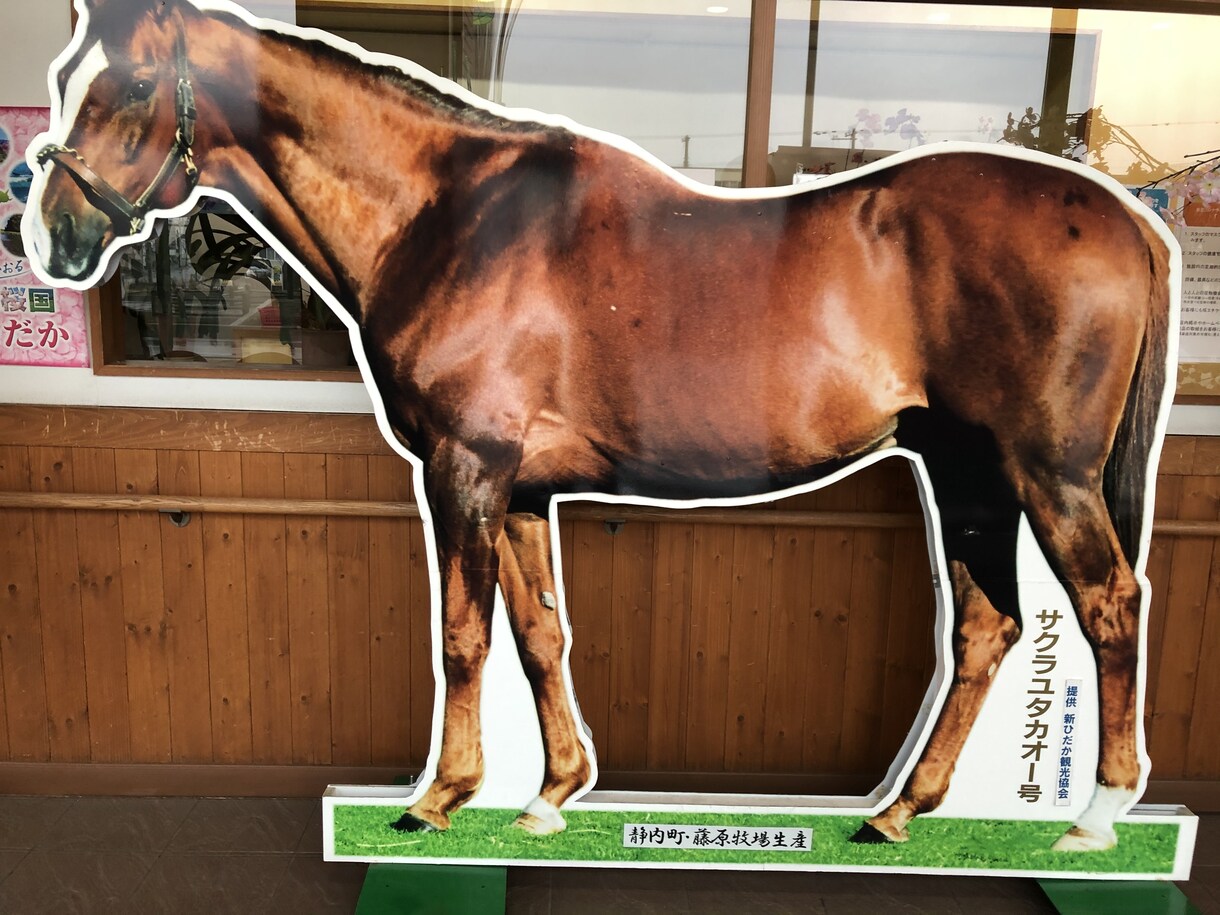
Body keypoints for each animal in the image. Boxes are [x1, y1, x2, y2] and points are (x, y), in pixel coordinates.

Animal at [26, 0, 1176, 852]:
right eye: (68, 77)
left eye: (130, 85)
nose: (50, 233)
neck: (450, 220)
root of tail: (1130, 219)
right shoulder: (521, 487)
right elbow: (540, 634)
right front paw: (551, 795)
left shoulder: (464, 469)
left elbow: (462, 636)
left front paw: (439, 796)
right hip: (966, 472)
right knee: (985, 627)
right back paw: (897, 811)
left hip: (1046, 474)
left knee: (1109, 606)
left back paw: (1095, 817)